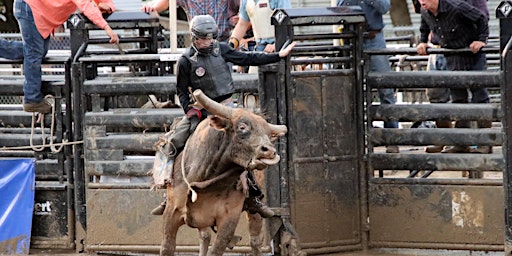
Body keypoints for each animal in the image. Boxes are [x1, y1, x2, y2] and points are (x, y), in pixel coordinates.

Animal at [161, 89, 288, 255]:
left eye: (268, 133)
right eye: (242, 127)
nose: (270, 151)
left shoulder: (229, 220)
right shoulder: (171, 213)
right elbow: (167, 247)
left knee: (255, 240)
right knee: (205, 236)